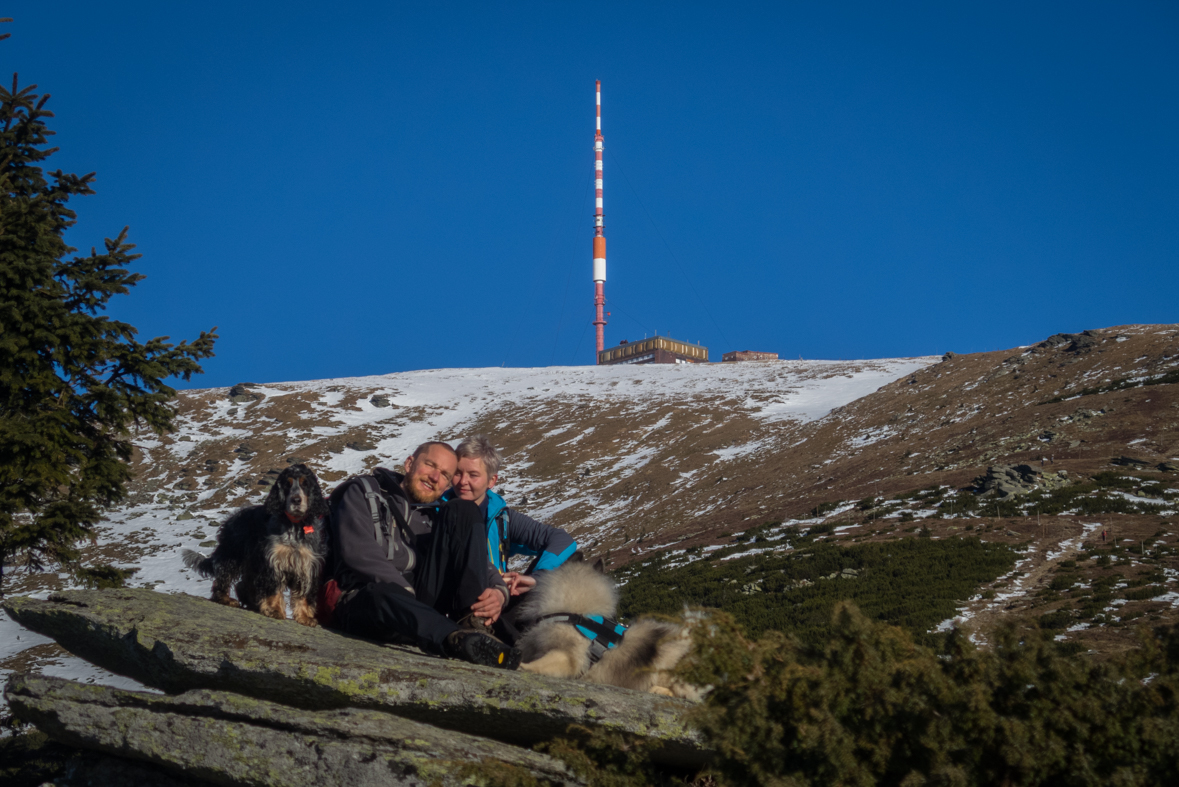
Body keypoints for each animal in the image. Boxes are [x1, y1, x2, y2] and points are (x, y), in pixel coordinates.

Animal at [183, 461, 332, 626]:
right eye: (287, 485)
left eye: (305, 484)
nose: (296, 500)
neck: (295, 525)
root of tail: (231, 518)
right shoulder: (272, 560)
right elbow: (272, 588)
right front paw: (274, 610)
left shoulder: (307, 564)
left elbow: (304, 593)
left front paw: (305, 617)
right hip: (232, 554)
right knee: (223, 577)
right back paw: (225, 599)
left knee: (244, 584)